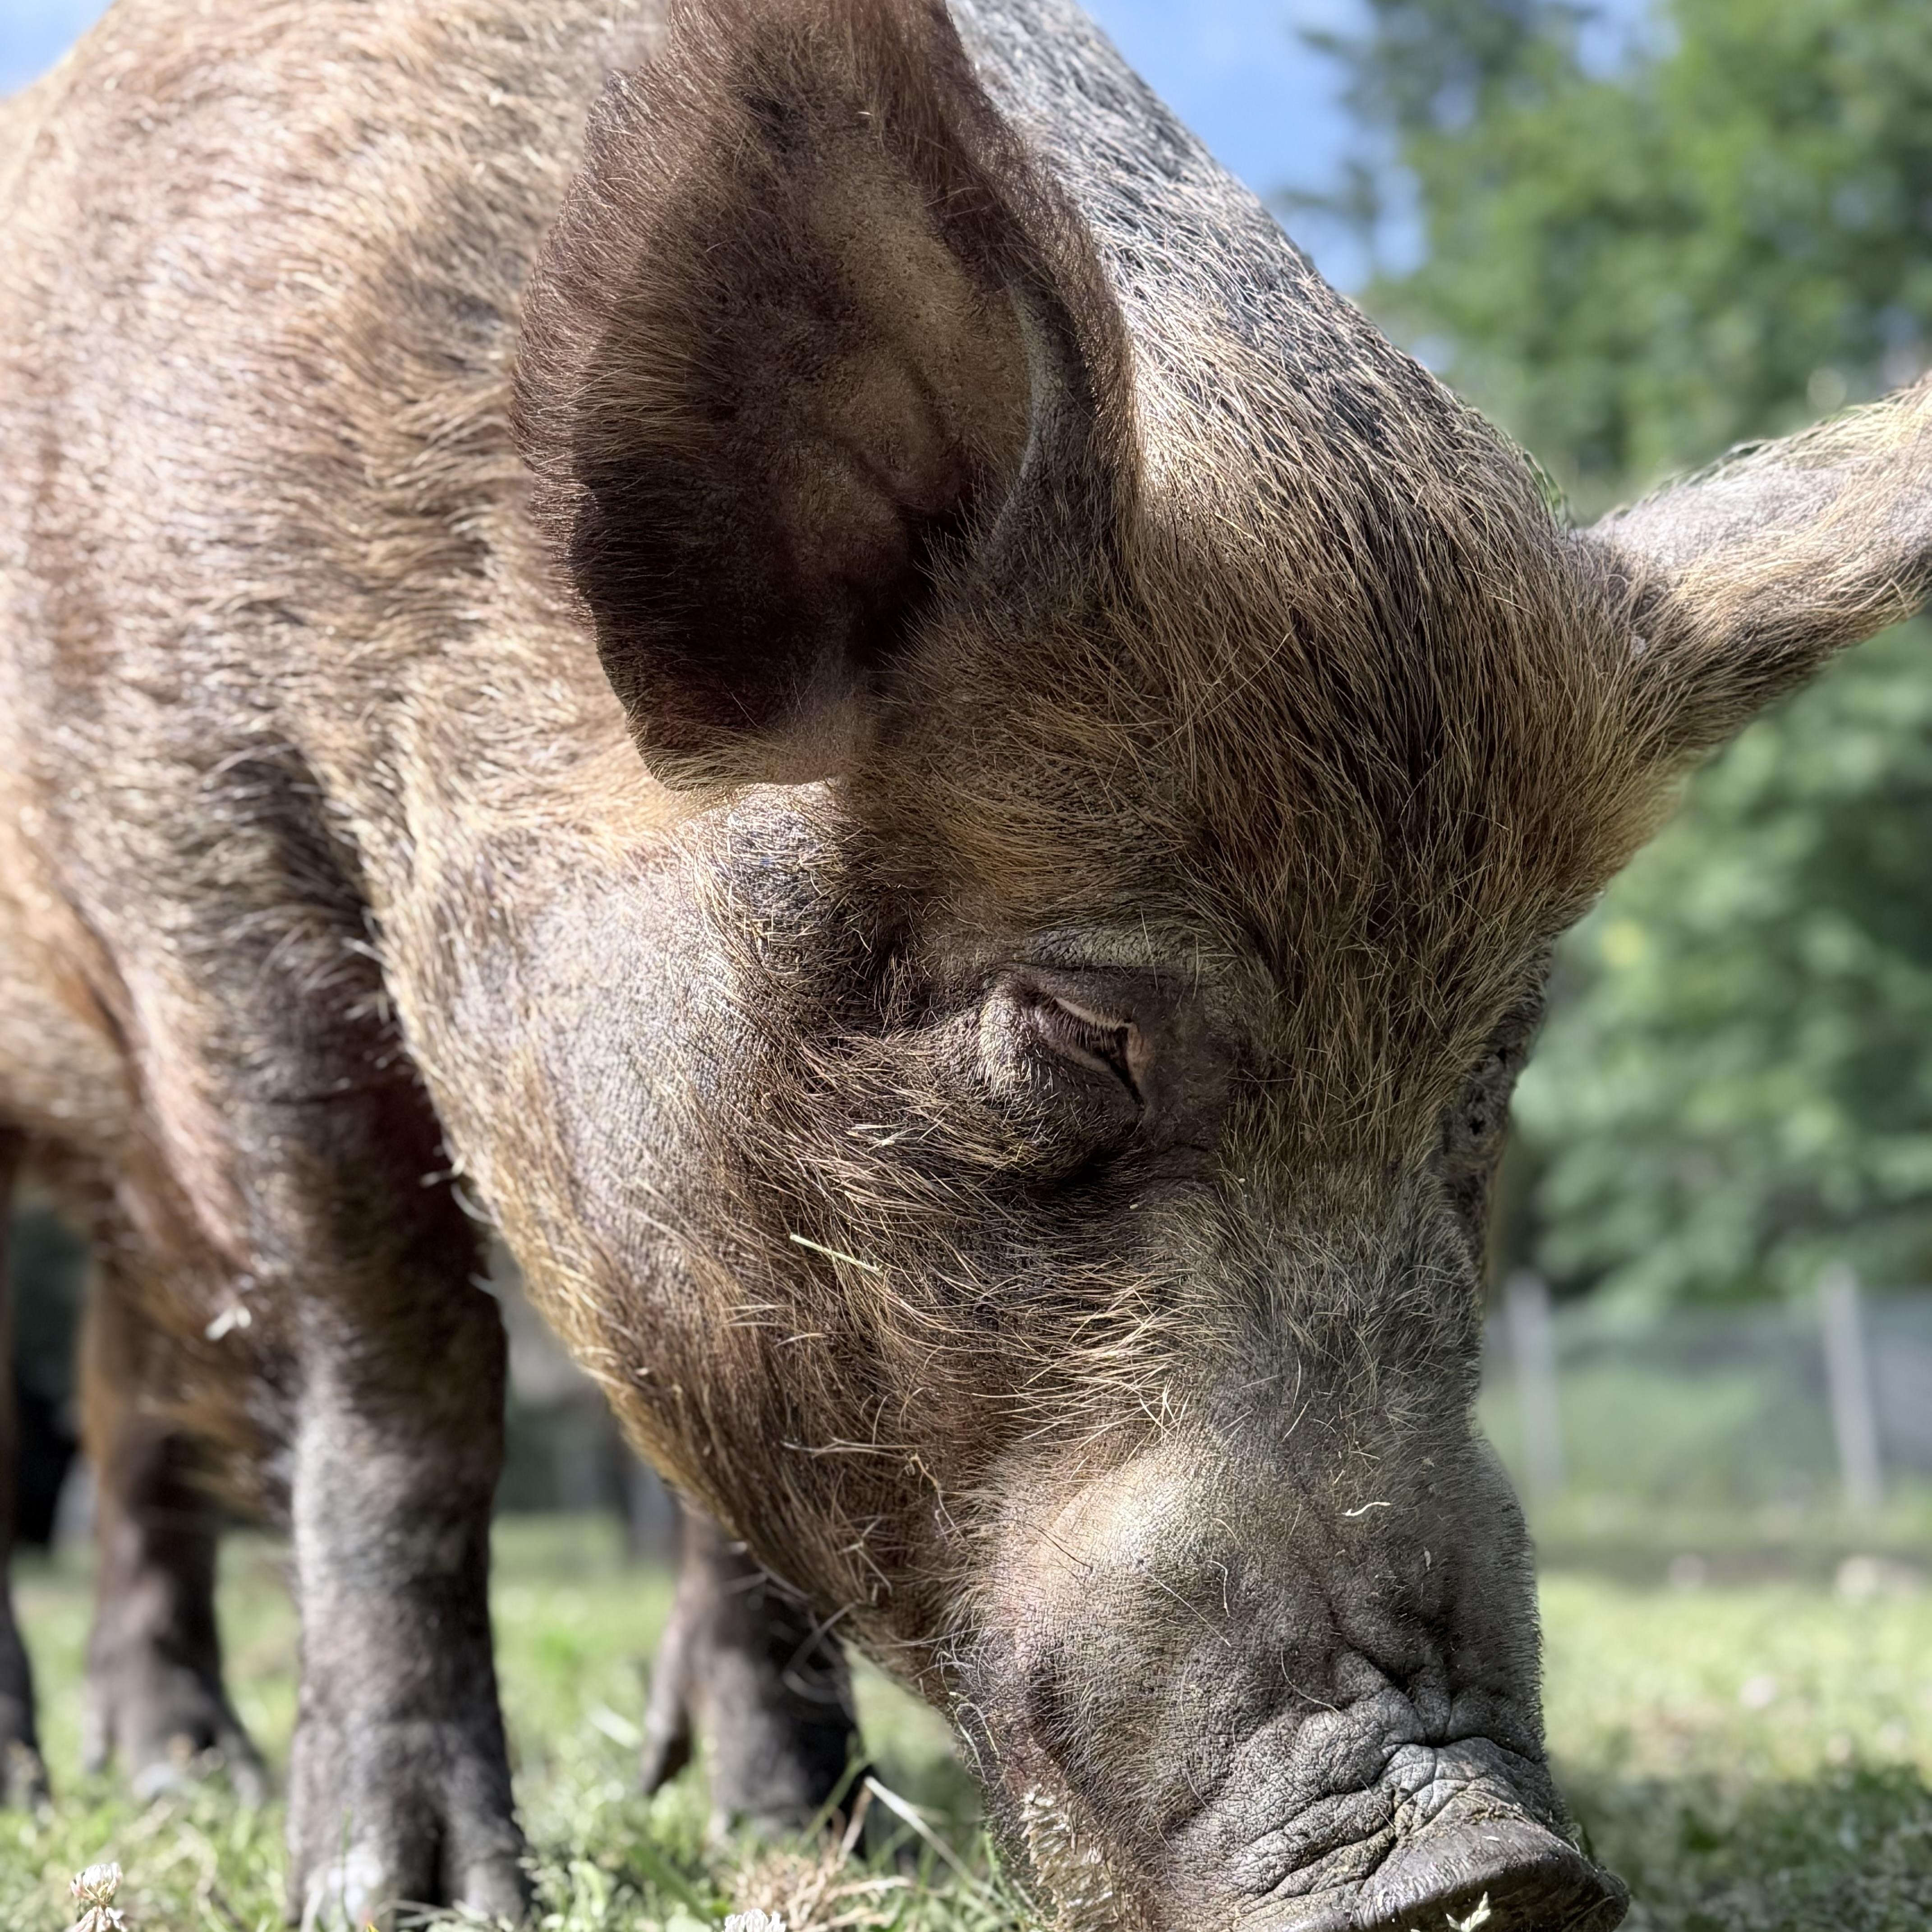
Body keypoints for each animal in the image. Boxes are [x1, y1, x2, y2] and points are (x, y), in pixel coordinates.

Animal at [3, 0, 1929, 1926]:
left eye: (1485, 1068)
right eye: (1073, 1018)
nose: (1496, 1860)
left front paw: (803, 1829)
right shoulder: (211, 856)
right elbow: (402, 1385)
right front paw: (416, 1895)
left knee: (120, 1419)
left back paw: (175, 1768)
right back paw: (116, 1779)